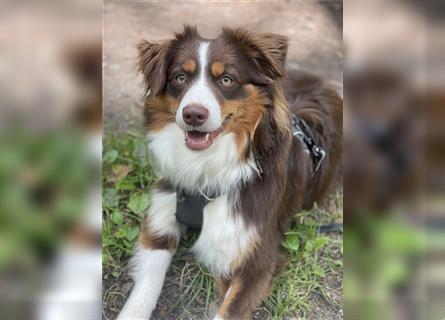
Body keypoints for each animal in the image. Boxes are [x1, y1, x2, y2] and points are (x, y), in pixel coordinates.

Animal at [116, 25, 342, 320]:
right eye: (180, 77)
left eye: (226, 79)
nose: (193, 115)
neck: (207, 167)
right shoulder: (161, 222)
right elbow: (145, 287)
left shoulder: (257, 261)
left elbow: (229, 310)